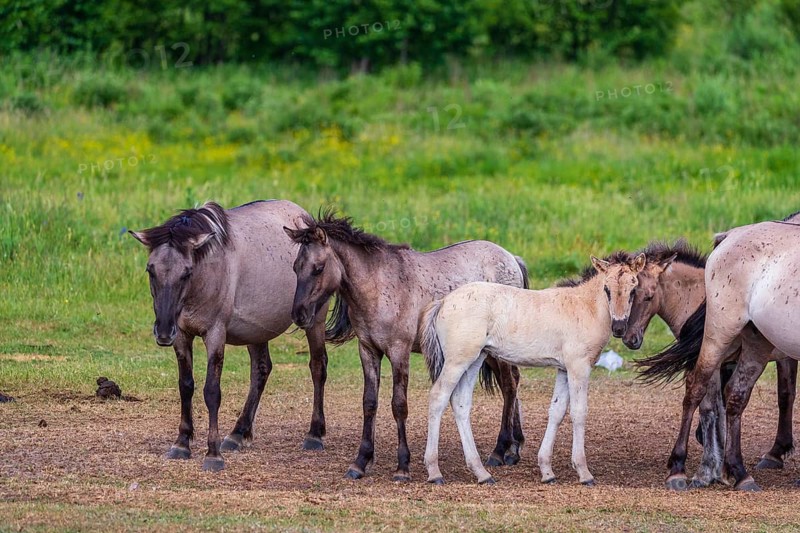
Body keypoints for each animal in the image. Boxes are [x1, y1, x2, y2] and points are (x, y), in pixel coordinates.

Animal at [130, 200, 330, 472]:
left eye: (186, 273)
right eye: (151, 270)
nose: (162, 331)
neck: (208, 272)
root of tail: (304, 216)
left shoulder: (215, 334)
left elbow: (212, 392)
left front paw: (212, 454)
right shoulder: (181, 335)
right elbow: (186, 386)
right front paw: (182, 443)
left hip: (314, 320)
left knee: (318, 366)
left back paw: (314, 434)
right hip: (257, 331)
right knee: (261, 370)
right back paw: (238, 433)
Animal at [283, 211, 528, 481]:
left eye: (318, 269)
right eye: (295, 267)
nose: (299, 315)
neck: (378, 286)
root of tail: (512, 259)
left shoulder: (399, 351)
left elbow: (399, 405)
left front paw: (403, 466)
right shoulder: (368, 350)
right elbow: (369, 403)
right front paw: (360, 462)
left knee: (510, 386)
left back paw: (500, 451)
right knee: (511, 384)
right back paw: (513, 449)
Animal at [421, 252, 646, 485]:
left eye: (633, 290)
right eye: (606, 289)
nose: (619, 328)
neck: (586, 308)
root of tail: (443, 302)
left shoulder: (564, 369)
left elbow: (556, 411)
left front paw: (547, 471)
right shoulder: (579, 367)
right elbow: (578, 412)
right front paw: (584, 473)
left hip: (475, 360)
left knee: (461, 403)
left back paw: (482, 473)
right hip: (457, 361)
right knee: (438, 397)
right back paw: (435, 472)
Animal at [629, 239, 798, 488]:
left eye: (648, 296)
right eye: (628, 293)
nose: (628, 336)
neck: (699, 296)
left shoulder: (717, 359)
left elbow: (710, 407)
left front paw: (710, 470)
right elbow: (720, 406)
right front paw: (720, 468)